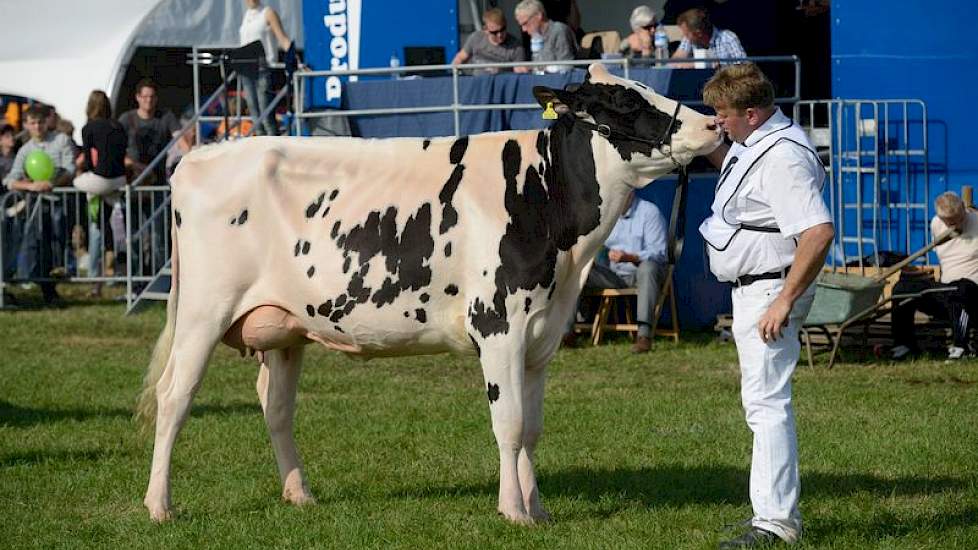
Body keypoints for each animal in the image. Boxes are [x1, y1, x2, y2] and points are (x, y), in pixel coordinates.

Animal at [137, 62, 716, 524]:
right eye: (625, 101)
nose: (711, 122)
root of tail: (200, 157)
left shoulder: (542, 337)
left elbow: (532, 430)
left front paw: (539, 509)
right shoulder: (499, 327)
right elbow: (509, 425)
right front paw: (513, 512)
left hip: (284, 326)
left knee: (276, 406)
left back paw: (299, 494)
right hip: (203, 312)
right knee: (175, 395)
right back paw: (159, 505)